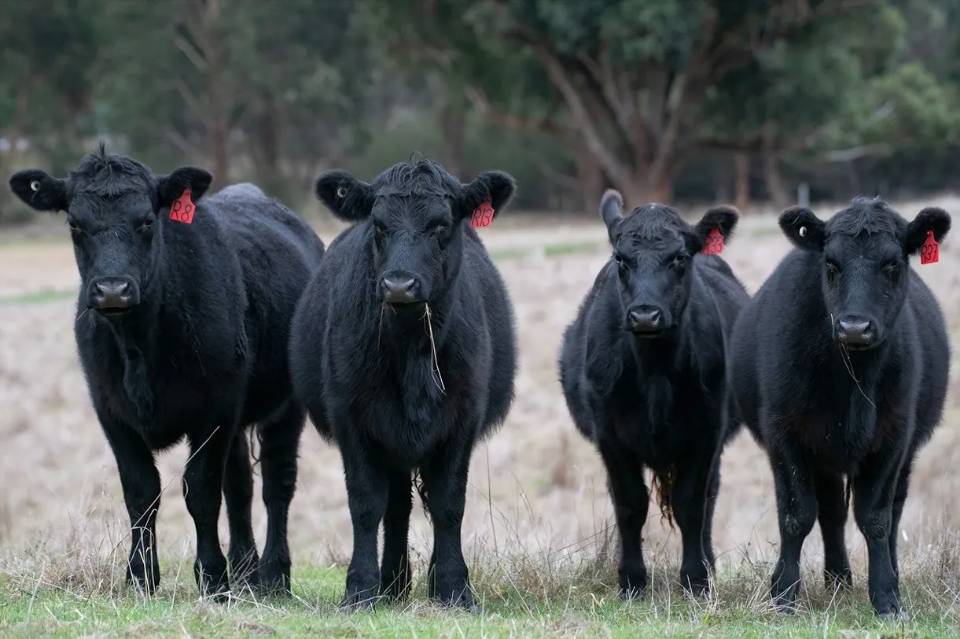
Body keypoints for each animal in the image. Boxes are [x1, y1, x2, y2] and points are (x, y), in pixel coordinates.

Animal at [6, 150, 326, 600]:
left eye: (146, 221)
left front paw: (212, 576)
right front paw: (140, 576)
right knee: (240, 486)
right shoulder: (111, 411)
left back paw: (273, 576)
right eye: (75, 225)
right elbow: (141, 491)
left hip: (286, 407)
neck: (140, 346)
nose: (112, 289)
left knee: (276, 483)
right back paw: (245, 571)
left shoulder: (214, 410)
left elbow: (201, 489)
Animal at [290, 159, 516, 608]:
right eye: (378, 225)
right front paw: (360, 589)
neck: (412, 349)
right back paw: (392, 584)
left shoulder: (463, 419)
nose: (398, 284)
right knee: (396, 506)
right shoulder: (352, 418)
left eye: (440, 225)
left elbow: (449, 504)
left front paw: (454, 587)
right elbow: (365, 503)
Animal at [560, 191, 748, 600]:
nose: (645, 316)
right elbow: (630, 504)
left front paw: (695, 580)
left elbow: (691, 504)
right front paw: (631, 580)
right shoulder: (611, 436)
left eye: (679, 257)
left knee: (709, 497)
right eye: (621, 259)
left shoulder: (706, 433)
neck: (655, 372)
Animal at [732, 198, 948, 616]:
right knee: (831, 512)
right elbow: (796, 516)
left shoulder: (894, 438)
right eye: (831, 264)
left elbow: (877, 518)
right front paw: (783, 595)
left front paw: (887, 598)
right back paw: (837, 580)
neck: (853, 380)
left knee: (892, 510)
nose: (854, 327)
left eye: (892, 264)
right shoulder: (785, 435)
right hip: (824, 456)